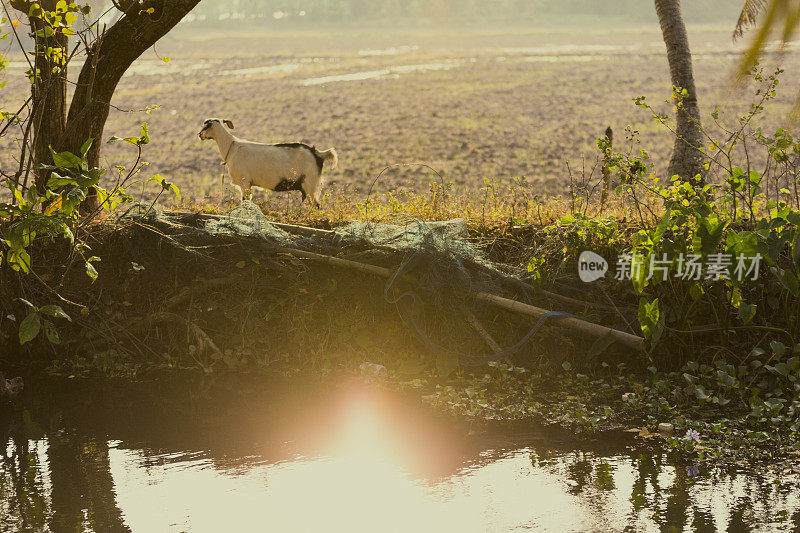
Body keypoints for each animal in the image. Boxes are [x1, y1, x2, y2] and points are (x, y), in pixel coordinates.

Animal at [202, 117, 340, 207]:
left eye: (205, 126)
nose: (199, 135)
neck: (232, 147)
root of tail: (317, 153)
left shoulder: (244, 182)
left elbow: (245, 201)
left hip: (310, 184)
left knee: (316, 205)